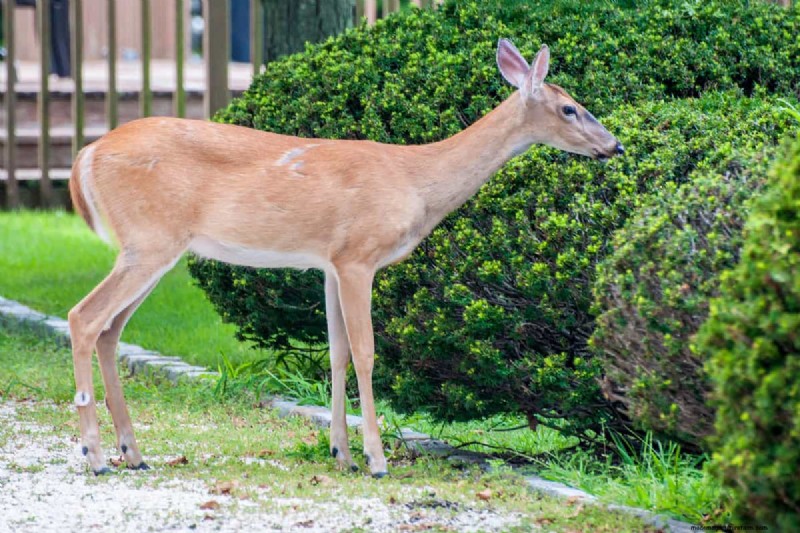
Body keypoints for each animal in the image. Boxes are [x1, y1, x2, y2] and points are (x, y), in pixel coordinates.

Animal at [67, 39, 623, 477]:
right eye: (570, 108)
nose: (614, 146)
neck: (415, 181)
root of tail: (85, 156)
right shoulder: (359, 255)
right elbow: (367, 352)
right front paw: (376, 459)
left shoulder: (329, 263)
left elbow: (336, 353)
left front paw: (342, 454)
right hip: (150, 239)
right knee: (84, 317)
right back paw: (95, 455)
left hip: (151, 247)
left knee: (110, 330)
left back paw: (133, 453)